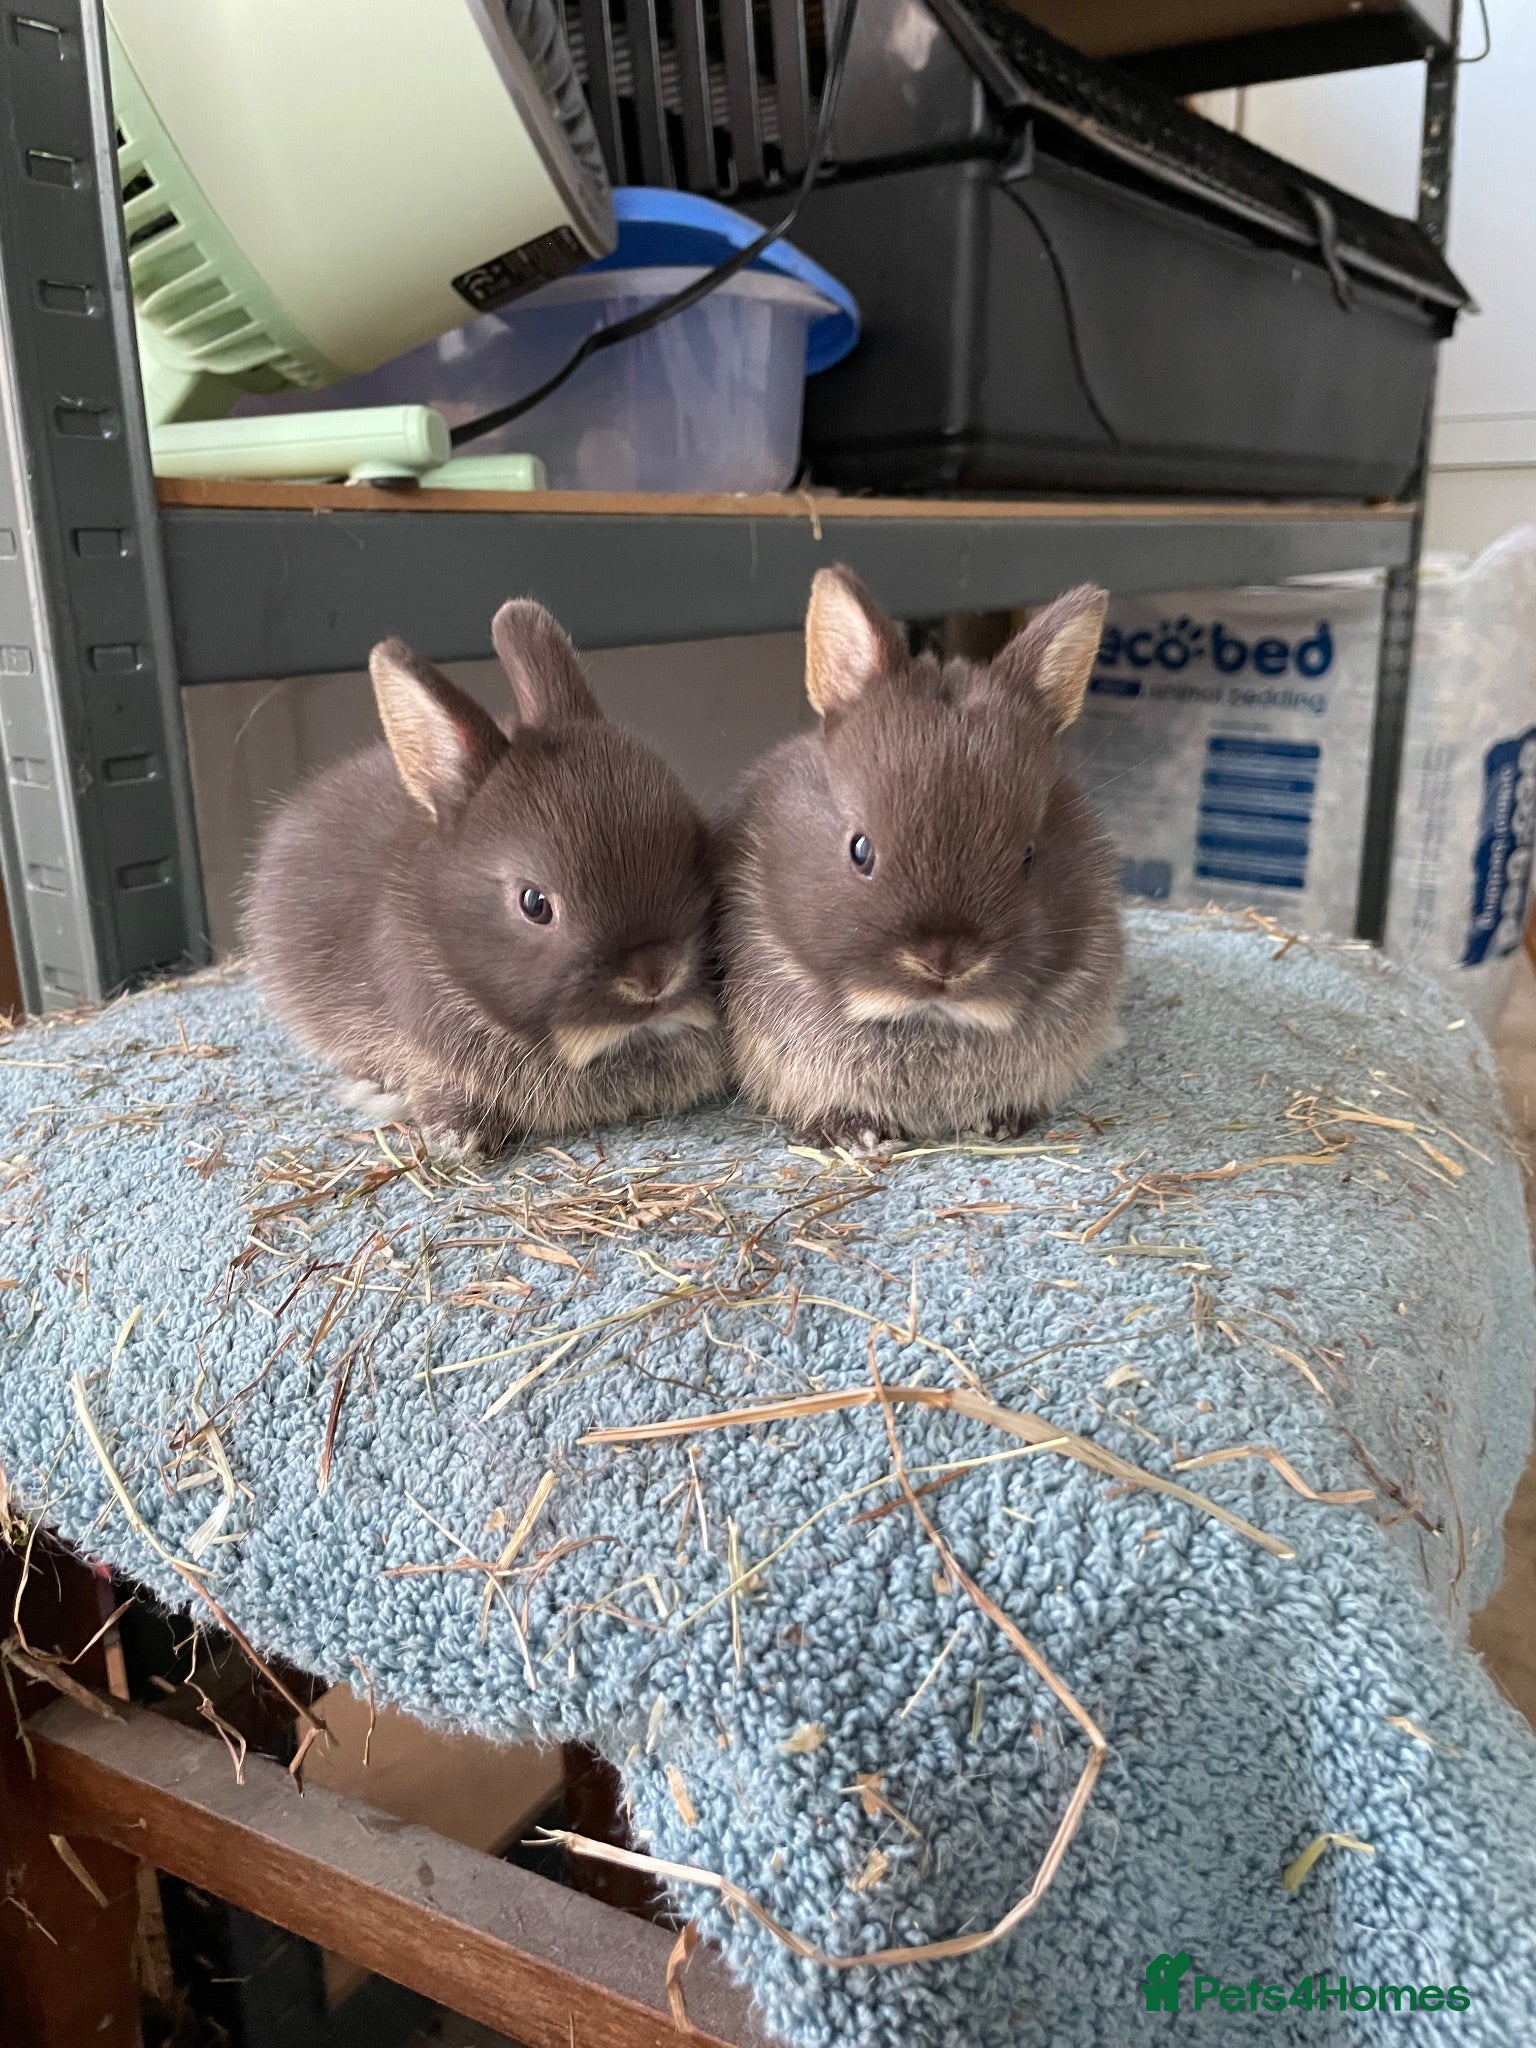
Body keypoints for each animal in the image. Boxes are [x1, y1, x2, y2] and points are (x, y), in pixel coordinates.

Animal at [714, 566, 1123, 1150]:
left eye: (1028, 855)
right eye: (860, 848)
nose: (945, 963)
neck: (930, 1017)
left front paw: (1001, 1123)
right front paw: (856, 1133)